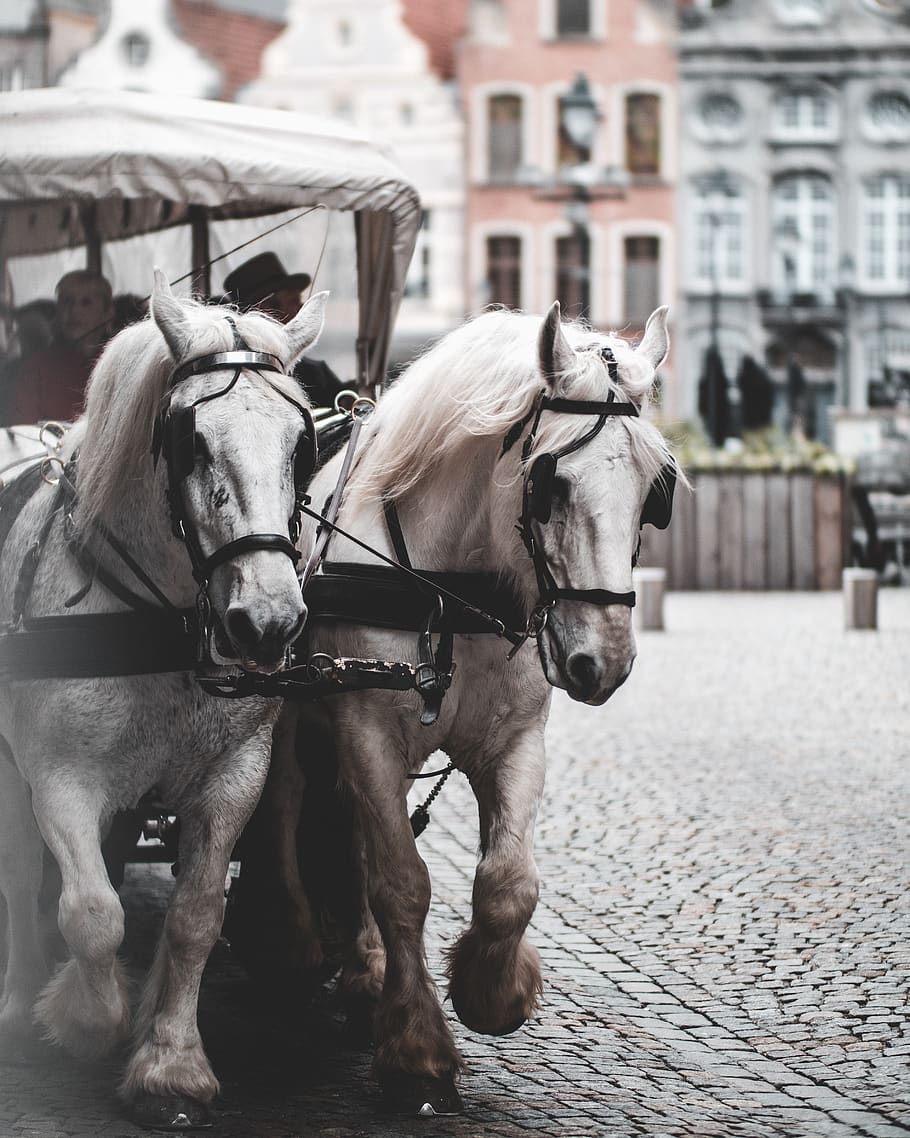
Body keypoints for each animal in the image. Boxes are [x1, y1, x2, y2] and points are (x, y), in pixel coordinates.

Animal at [0, 271, 326, 1129]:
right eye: (191, 440)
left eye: (303, 442)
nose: (268, 621)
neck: (161, 628)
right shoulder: (62, 780)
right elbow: (91, 912)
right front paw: (85, 1016)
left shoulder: (235, 776)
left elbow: (196, 917)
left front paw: (171, 1062)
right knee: (20, 871)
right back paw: (20, 1000)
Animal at [229, 302, 678, 1116]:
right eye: (550, 482)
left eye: (653, 488)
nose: (603, 661)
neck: (449, 587)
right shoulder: (368, 730)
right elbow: (403, 883)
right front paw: (417, 1053)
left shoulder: (516, 741)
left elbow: (507, 883)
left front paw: (493, 992)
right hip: (290, 704)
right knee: (285, 799)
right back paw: (293, 942)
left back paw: (365, 974)